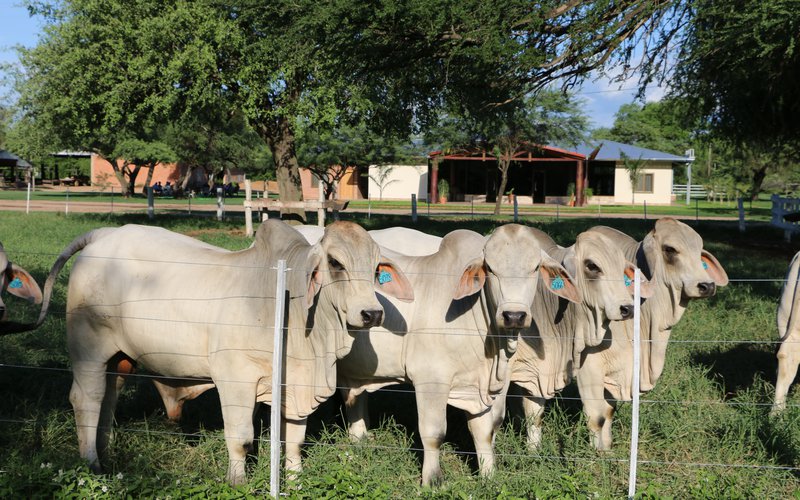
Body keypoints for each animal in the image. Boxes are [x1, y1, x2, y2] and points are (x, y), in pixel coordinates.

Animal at [36, 220, 412, 484]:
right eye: (335, 263)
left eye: (376, 268)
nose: (372, 314)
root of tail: (103, 235)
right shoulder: (235, 379)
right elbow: (242, 438)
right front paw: (237, 481)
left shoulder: (295, 384)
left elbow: (294, 440)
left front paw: (295, 480)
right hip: (89, 349)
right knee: (86, 399)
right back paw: (92, 463)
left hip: (119, 357)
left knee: (108, 399)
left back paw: (107, 453)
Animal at [490, 229, 652, 452]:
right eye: (592, 266)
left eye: (622, 269)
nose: (628, 308)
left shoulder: (540, 369)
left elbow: (534, 412)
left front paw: (533, 450)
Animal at [580, 219, 728, 450]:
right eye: (670, 249)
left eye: (699, 249)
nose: (707, 285)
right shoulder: (589, 368)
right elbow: (597, 416)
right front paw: (597, 454)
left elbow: (609, 411)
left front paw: (608, 449)